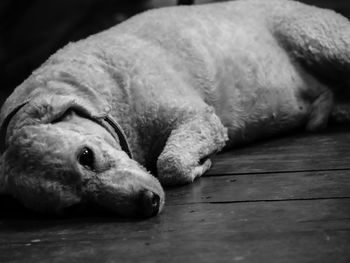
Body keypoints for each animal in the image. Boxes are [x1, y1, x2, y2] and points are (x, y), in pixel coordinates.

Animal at [0, 0, 350, 219]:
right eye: (74, 208)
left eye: (86, 155)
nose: (148, 203)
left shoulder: (201, 118)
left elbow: (169, 163)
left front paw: (201, 164)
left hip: (319, 40)